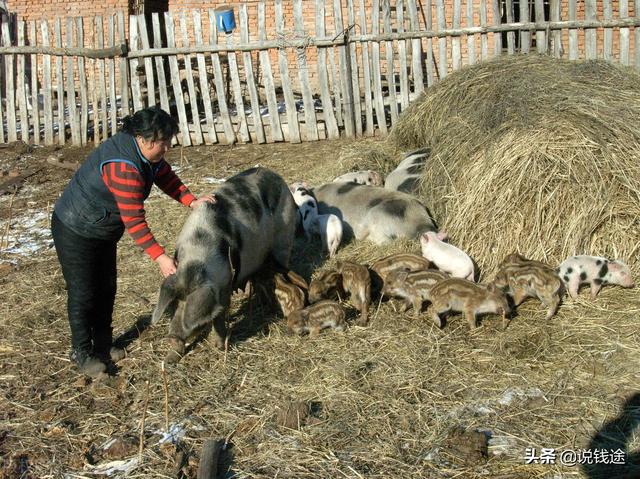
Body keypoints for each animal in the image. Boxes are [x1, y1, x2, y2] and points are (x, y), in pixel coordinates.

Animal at [152, 167, 298, 362]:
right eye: (175, 302)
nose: (172, 336)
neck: (195, 260)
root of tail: (276, 176)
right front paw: (170, 359)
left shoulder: (225, 283)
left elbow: (220, 316)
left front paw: (220, 347)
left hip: (284, 236)